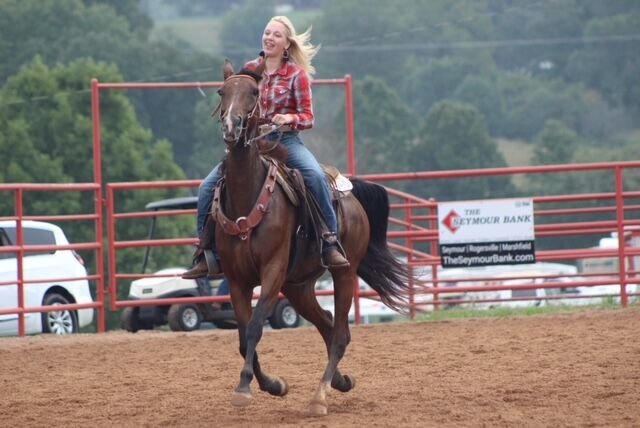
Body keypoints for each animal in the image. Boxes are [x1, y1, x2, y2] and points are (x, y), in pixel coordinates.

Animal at [212, 59, 418, 414]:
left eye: (253, 93)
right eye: (222, 92)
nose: (230, 126)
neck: (247, 197)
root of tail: (351, 193)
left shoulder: (272, 271)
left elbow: (255, 327)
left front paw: (245, 387)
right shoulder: (237, 279)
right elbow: (242, 337)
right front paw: (273, 385)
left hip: (344, 273)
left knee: (339, 334)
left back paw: (320, 397)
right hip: (298, 286)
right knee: (326, 321)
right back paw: (341, 381)